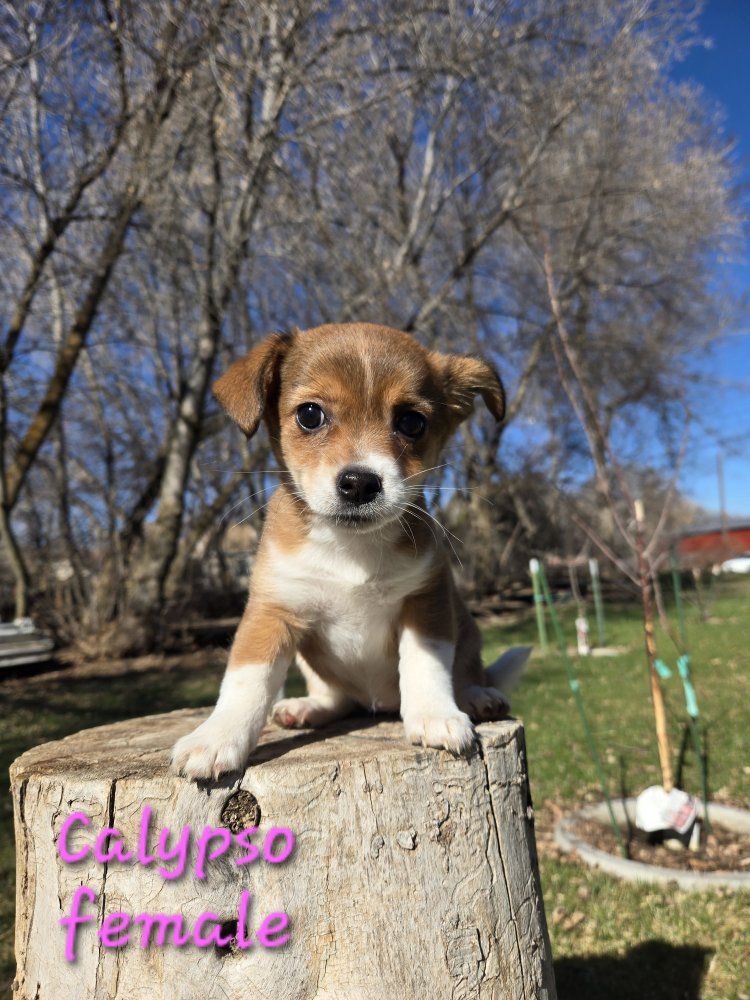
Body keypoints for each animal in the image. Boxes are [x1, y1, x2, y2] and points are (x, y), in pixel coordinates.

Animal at [172, 323, 531, 780]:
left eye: (412, 422)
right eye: (310, 415)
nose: (360, 483)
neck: (350, 547)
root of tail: (377, 704)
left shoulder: (426, 602)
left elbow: (426, 664)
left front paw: (434, 716)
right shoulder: (271, 613)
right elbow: (246, 681)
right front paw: (217, 737)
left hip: (466, 631)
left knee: (466, 671)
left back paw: (476, 697)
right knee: (336, 698)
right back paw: (307, 708)